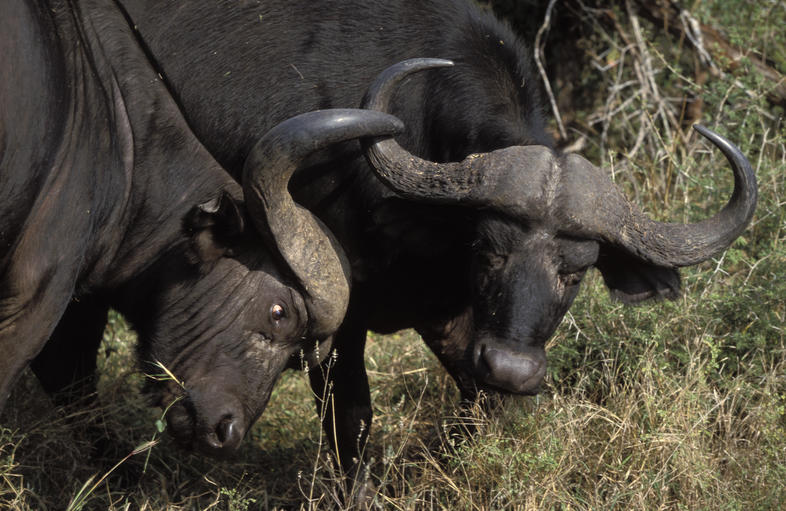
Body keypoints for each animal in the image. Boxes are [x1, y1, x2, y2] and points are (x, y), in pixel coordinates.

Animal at [121, 0, 752, 466]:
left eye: (575, 274)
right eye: (488, 251)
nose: (514, 367)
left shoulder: (458, 319)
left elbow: (483, 405)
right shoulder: (335, 314)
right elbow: (350, 421)